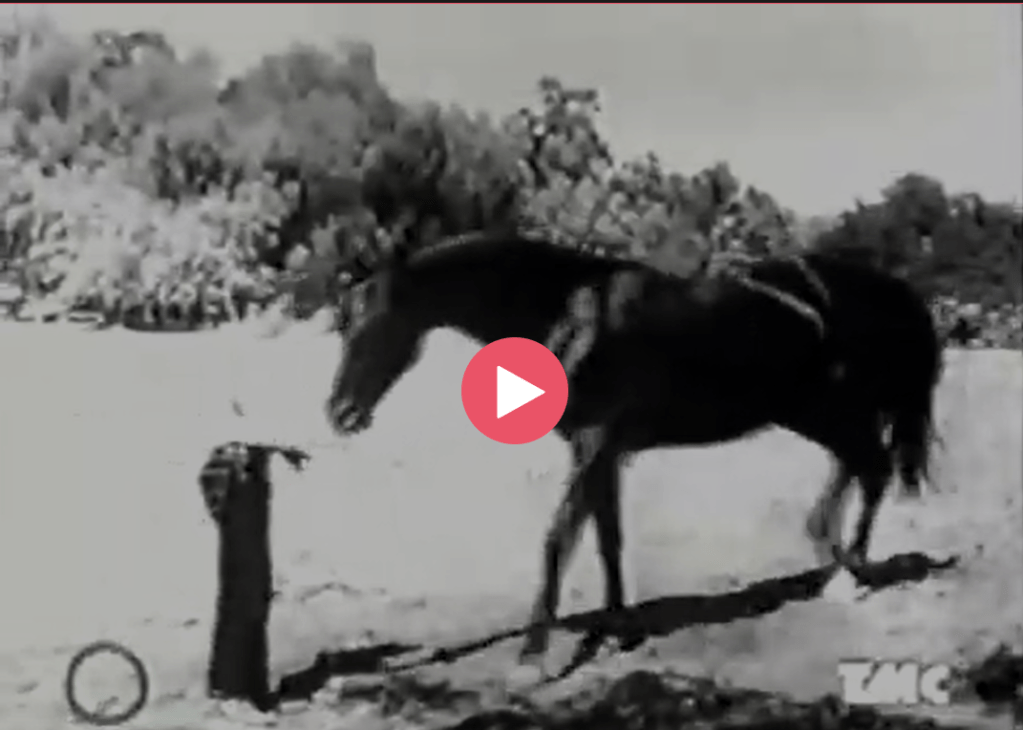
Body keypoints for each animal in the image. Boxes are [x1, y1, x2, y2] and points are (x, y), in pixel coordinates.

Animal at [321, 232, 944, 671]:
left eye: (381, 321)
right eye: (343, 322)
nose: (341, 414)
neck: (572, 314)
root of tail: (891, 291)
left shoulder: (595, 442)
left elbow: (559, 539)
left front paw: (533, 654)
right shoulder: (603, 451)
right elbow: (607, 539)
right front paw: (618, 628)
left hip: (833, 412)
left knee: (872, 468)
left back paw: (852, 570)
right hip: (814, 414)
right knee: (858, 468)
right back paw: (834, 561)